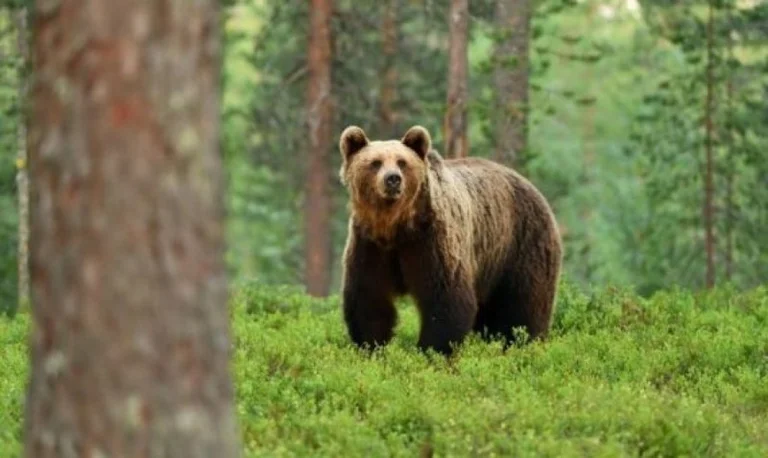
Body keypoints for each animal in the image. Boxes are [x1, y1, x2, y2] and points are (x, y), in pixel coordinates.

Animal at [337, 124, 563, 356]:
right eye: (375, 162)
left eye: (402, 162)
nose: (393, 179)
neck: (396, 226)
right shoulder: (370, 246)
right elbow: (369, 299)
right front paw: (371, 347)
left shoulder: (431, 241)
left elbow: (445, 299)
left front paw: (431, 352)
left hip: (521, 243)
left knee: (524, 305)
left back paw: (524, 343)